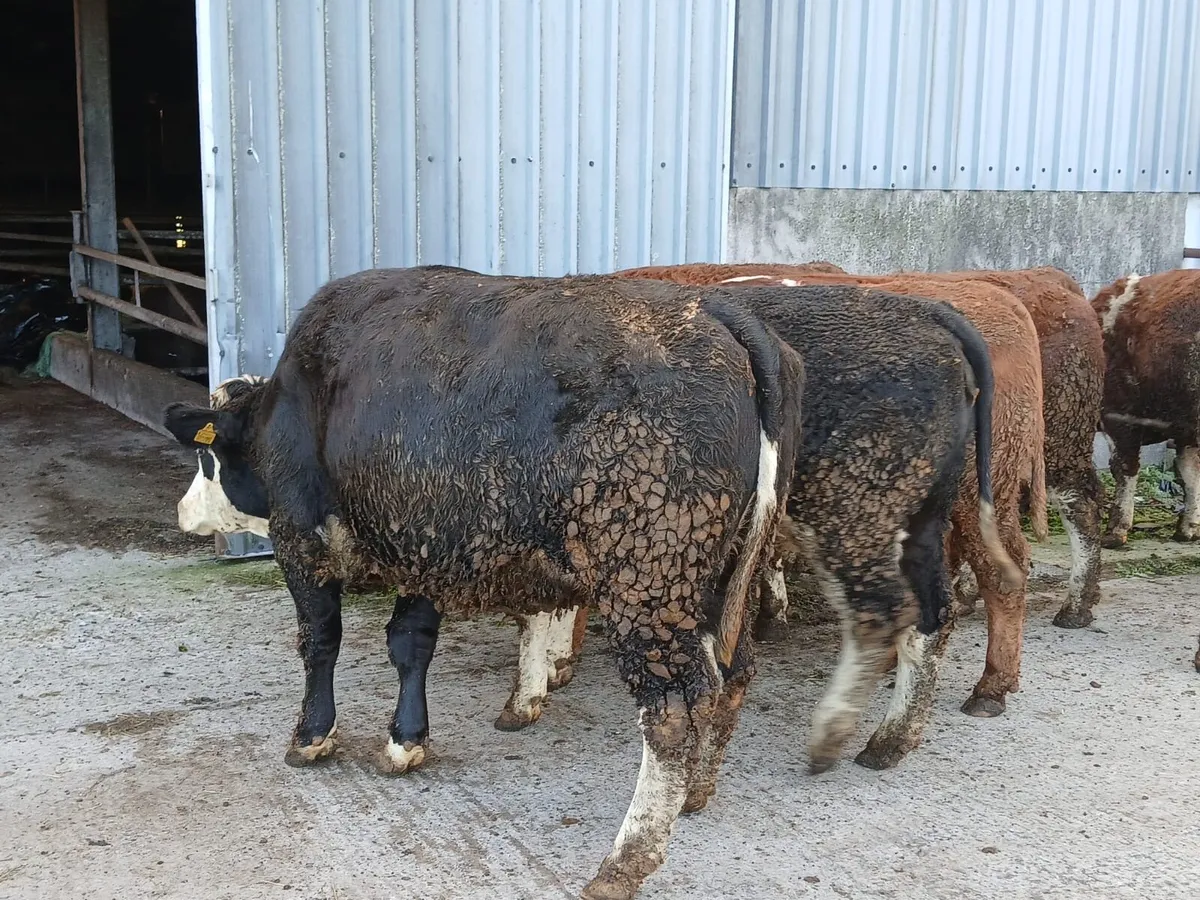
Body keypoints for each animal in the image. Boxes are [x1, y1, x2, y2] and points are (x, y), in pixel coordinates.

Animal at [163, 266, 804, 900]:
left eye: (207, 461)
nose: (182, 511)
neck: (291, 399)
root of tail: (717, 310)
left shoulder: (300, 537)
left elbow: (320, 642)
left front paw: (312, 737)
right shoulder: (424, 543)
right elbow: (411, 644)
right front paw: (406, 741)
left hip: (648, 579)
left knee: (675, 711)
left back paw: (623, 864)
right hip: (720, 580)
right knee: (733, 673)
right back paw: (695, 792)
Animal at [525, 270, 1023, 771]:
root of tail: (927, 311)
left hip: (854, 513)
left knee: (916, 601)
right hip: (923, 518)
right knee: (935, 612)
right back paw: (890, 739)